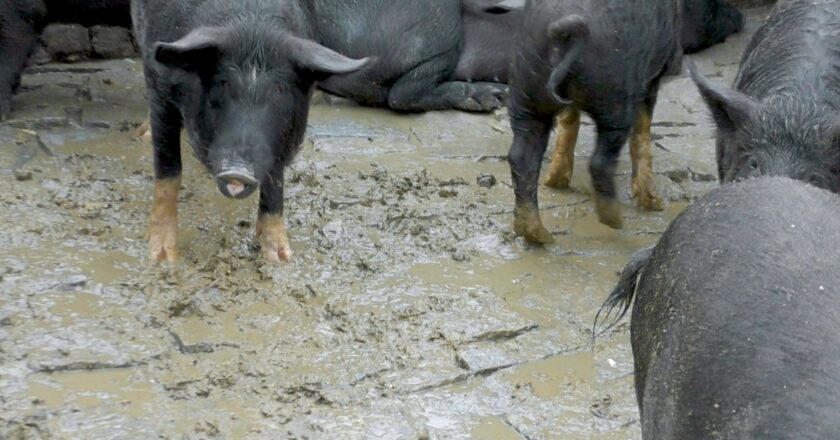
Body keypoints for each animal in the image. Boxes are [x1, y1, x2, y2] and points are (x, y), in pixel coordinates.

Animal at [132, 0, 371, 264]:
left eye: (280, 90)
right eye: (223, 82)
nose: (237, 172)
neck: (253, 24)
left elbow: (275, 180)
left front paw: (280, 258)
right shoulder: (160, 88)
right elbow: (169, 173)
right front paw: (161, 258)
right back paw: (142, 135)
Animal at [507, 0, 682, 243]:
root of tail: (568, 31)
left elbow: (569, 119)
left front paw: (555, 182)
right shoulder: (650, 79)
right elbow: (642, 129)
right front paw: (653, 204)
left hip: (526, 92)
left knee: (520, 156)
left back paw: (539, 234)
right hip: (616, 96)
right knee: (600, 161)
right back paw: (615, 220)